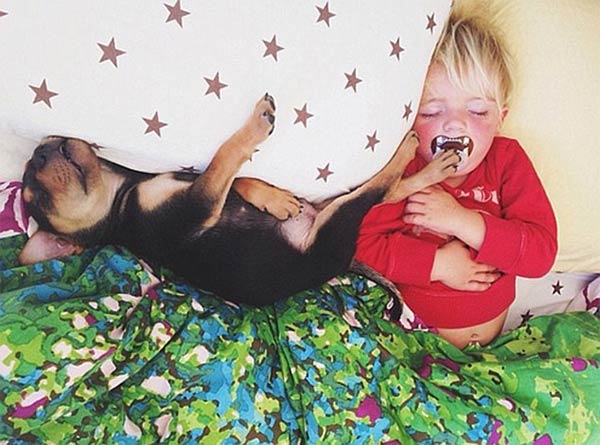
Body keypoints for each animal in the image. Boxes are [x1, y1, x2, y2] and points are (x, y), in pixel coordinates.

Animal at [21, 93, 458, 306]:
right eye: (35, 196)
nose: (39, 152)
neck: (124, 194)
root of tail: (340, 264)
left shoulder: (199, 187)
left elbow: (235, 175)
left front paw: (274, 198)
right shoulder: (196, 207)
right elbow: (225, 156)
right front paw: (256, 128)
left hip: (331, 209)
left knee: (386, 192)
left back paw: (434, 168)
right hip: (334, 225)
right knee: (376, 191)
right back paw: (408, 151)